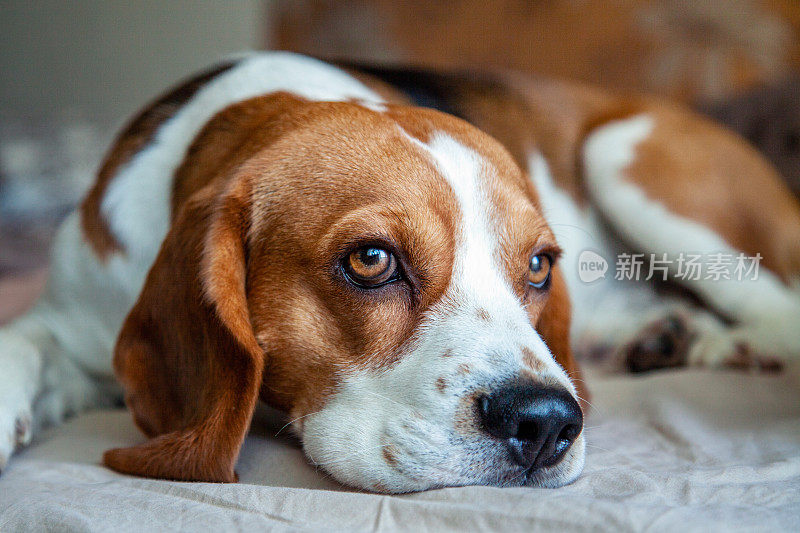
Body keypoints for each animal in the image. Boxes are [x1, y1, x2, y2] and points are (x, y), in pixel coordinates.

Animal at [1, 52, 800, 492]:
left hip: (625, 155)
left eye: (538, 265)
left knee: (778, 309)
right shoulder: (75, 316)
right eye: (372, 259)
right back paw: (668, 336)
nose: (546, 423)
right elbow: (18, 343)